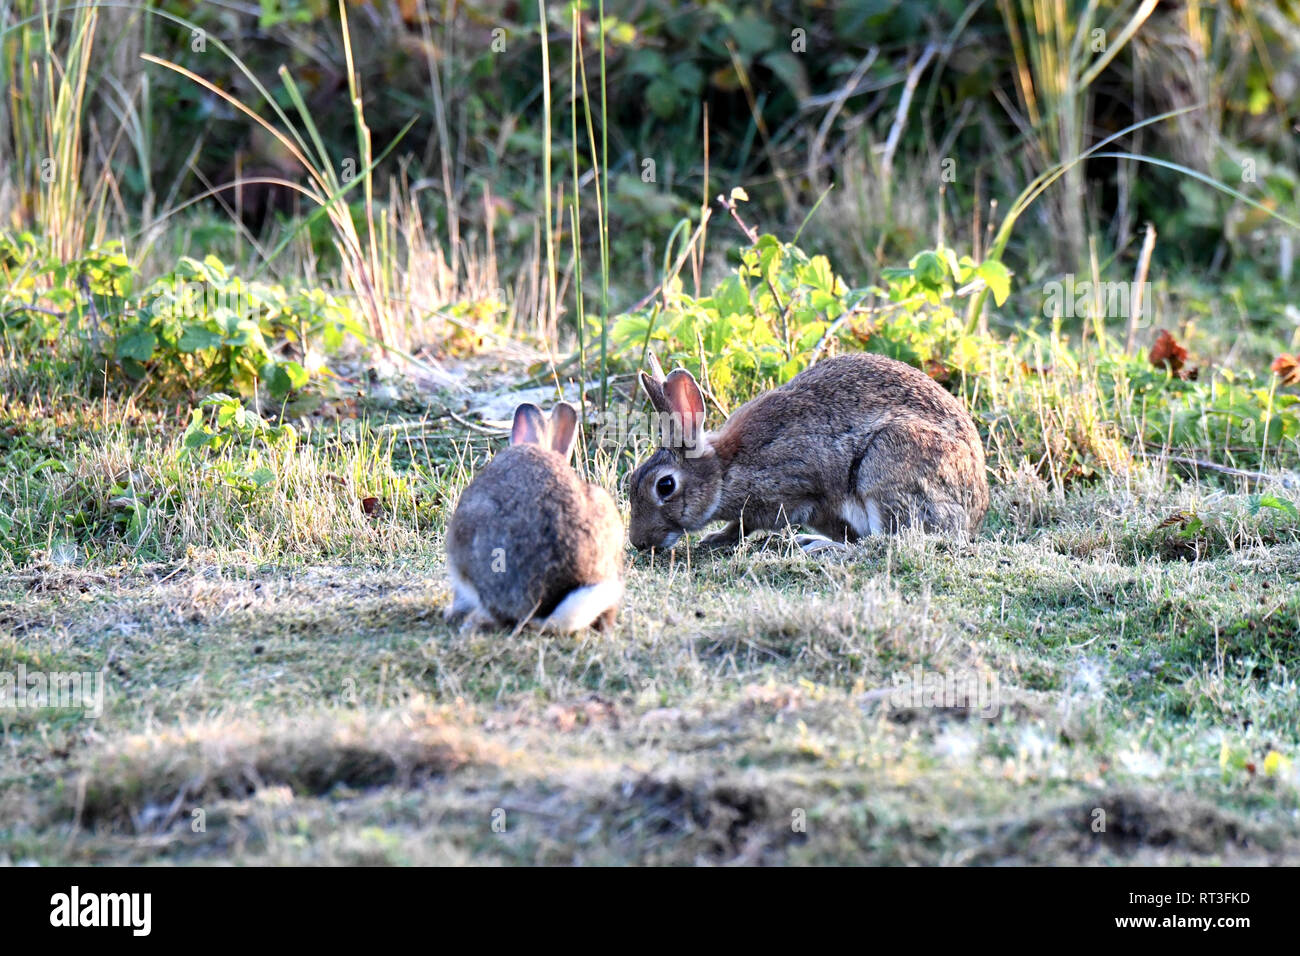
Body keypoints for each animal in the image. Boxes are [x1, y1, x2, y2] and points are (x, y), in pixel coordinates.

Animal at [628, 352, 989, 552]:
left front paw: (715, 538)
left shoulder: (789, 491)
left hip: (887, 463)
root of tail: (974, 515)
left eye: (665, 486)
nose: (638, 542)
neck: (724, 470)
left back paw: (819, 546)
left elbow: (744, 525)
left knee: (888, 541)